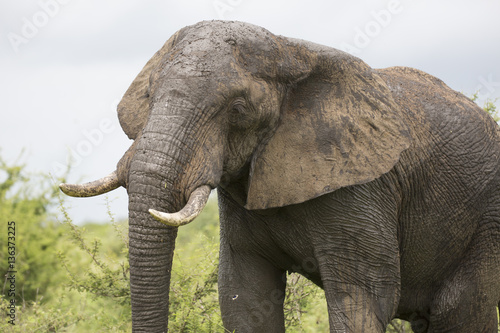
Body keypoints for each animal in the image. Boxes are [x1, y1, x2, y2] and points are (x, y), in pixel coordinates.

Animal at [61, 20, 500, 332]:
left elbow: (361, 298)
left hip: (486, 223)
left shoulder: (361, 187)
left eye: (238, 110)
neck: (291, 49)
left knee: (460, 312)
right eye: (150, 96)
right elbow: (244, 296)